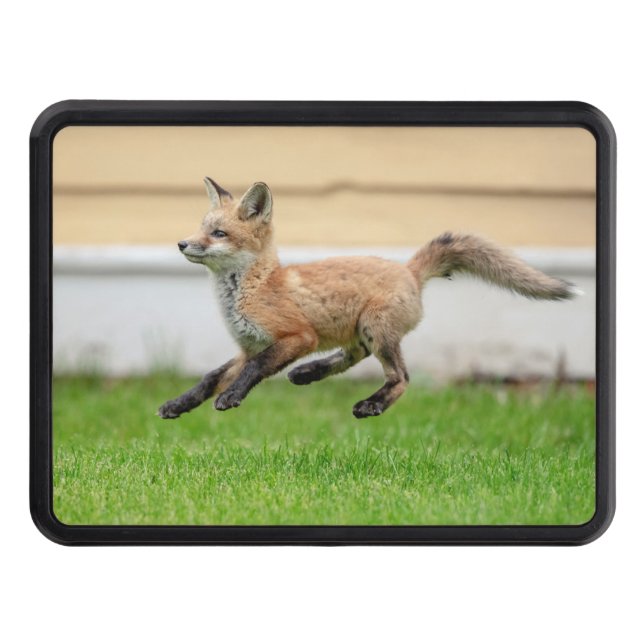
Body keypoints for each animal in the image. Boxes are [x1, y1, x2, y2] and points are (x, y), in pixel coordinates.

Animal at [158, 177, 578, 420]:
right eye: (201, 228)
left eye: (219, 234)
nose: (181, 243)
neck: (256, 287)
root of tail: (408, 270)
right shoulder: (249, 345)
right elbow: (210, 377)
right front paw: (178, 404)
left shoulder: (297, 337)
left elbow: (254, 370)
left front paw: (231, 397)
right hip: (362, 330)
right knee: (354, 355)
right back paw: (309, 373)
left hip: (376, 330)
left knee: (401, 378)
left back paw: (371, 404)